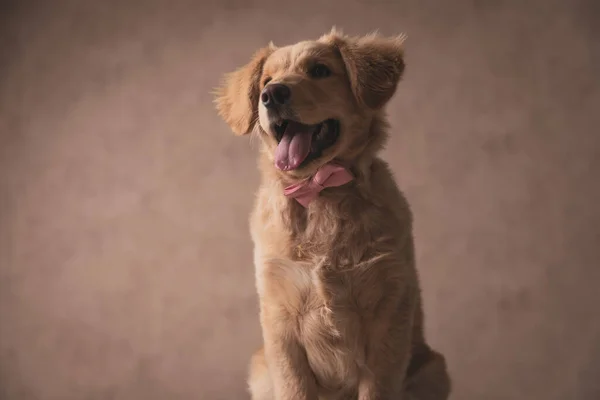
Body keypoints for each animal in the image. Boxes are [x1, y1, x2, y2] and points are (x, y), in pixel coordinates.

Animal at [214, 28, 450, 400]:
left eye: (320, 71)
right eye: (266, 80)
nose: (272, 94)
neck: (320, 192)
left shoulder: (387, 316)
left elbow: (377, 389)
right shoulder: (280, 321)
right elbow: (294, 388)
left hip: (433, 370)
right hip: (261, 368)